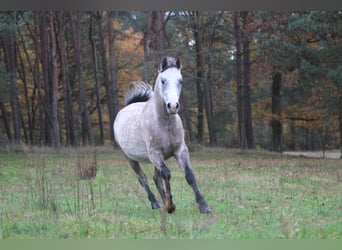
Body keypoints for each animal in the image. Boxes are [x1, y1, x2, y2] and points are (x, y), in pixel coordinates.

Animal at [113, 57, 212, 214]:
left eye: (180, 80)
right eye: (163, 81)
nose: (173, 106)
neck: (165, 123)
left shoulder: (180, 150)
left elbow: (189, 175)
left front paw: (204, 205)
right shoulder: (155, 153)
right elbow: (166, 174)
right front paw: (171, 205)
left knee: (155, 177)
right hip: (131, 158)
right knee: (143, 178)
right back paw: (156, 203)